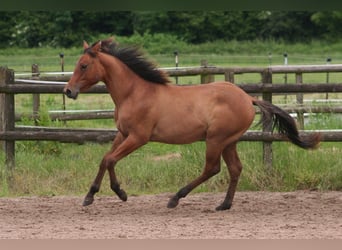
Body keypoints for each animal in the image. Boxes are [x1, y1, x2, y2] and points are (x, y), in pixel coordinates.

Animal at [63, 38, 320, 211]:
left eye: (84, 65)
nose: (68, 91)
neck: (134, 93)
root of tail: (248, 98)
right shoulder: (122, 134)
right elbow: (105, 159)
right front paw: (90, 196)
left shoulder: (138, 137)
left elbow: (110, 159)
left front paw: (120, 193)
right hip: (229, 141)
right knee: (235, 168)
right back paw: (224, 204)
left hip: (216, 139)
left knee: (212, 168)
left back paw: (176, 198)